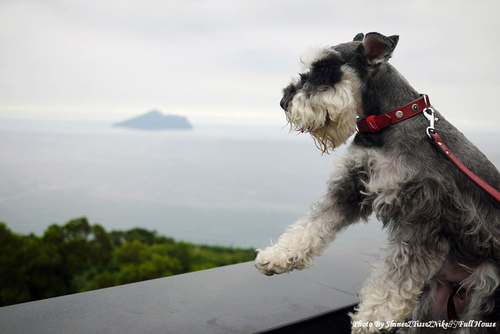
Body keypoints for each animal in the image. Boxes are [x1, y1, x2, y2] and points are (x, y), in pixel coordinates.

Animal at [256, 32, 498, 332]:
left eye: (326, 68)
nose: (284, 103)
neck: (386, 121)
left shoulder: (423, 215)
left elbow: (397, 274)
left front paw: (373, 316)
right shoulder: (351, 185)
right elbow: (313, 224)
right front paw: (279, 255)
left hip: (486, 286)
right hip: (432, 301)